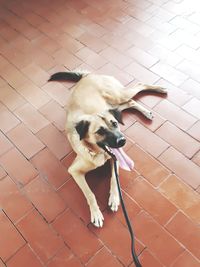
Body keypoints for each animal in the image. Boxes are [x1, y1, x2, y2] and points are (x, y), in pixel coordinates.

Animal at [48, 71, 167, 228]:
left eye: (115, 123)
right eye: (100, 131)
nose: (122, 141)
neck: (97, 153)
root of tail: (87, 76)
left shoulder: (115, 160)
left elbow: (113, 180)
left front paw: (114, 199)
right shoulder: (74, 171)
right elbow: (90, 193)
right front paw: (96, 213)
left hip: (117, 96)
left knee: (138, 87)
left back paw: (159, 91)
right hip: (115, 104)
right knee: (131, 101)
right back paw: (148, 108)